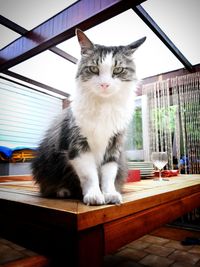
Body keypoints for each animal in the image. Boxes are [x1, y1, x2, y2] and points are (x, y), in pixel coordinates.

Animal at [32, 28, 146, 205]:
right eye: (93, 69)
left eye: (117, 70)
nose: (105, 84)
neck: (104, 106)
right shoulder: (78, 145)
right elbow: (89, 175)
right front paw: (94, 195)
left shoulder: (114, 145)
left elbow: (108, 175)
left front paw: (109, 194)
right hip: (45, 164)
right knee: (48, 187)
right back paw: (62, 191)